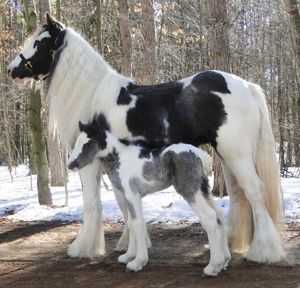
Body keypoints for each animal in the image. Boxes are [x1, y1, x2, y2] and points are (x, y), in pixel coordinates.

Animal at [68, 116, 231, 276]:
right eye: (77, 142)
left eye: (88, 142)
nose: (71, 165)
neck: (120, 158)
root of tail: (200, 154)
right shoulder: (127, 196)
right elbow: (130, 223)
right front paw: (128, 256)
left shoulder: (132, 195)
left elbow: (138, 224)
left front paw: (137, 263)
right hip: (203, 189)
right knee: (219, 214)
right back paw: (224, 261)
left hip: (190, 190)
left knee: (209, 217)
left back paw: (213, 267)